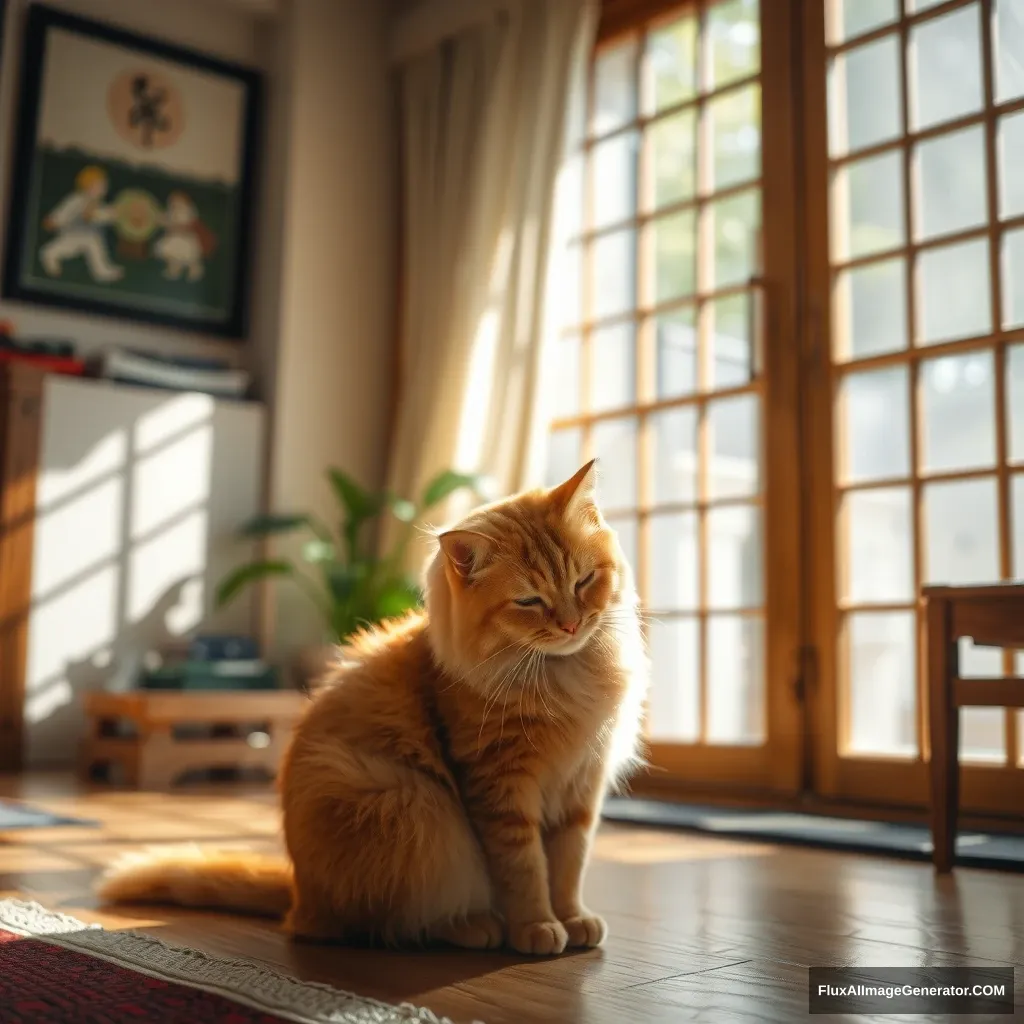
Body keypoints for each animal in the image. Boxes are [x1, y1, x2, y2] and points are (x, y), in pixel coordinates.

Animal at [96, 460, 643, 954]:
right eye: (529, 602)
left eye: (584, 581)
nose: (572, 624)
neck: (563, 678)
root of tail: (300, 898)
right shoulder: (501, 790)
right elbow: (526, 870)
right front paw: (536, 927)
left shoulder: (582, 787)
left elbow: (568, 867)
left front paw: (572, 919)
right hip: (416, 810)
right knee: (398, 924)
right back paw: (475, 927)